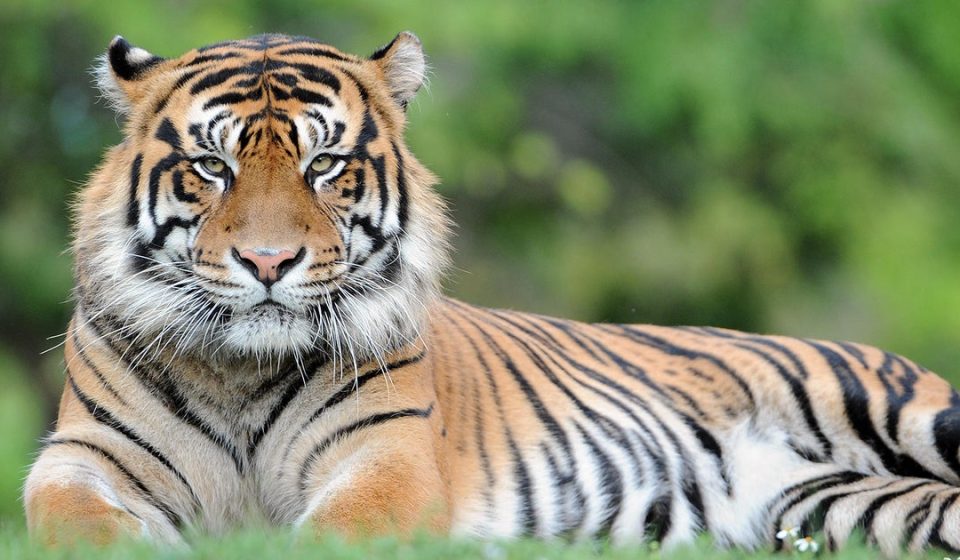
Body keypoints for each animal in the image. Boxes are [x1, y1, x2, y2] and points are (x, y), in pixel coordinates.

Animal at [23, 31, 960, 556]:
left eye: (324, 164)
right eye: (211, 166)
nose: (267, 261)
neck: (241, 371)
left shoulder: (389, 458)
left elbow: (329, 530)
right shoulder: (83, 454)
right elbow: (67, 518)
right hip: (840, 511)